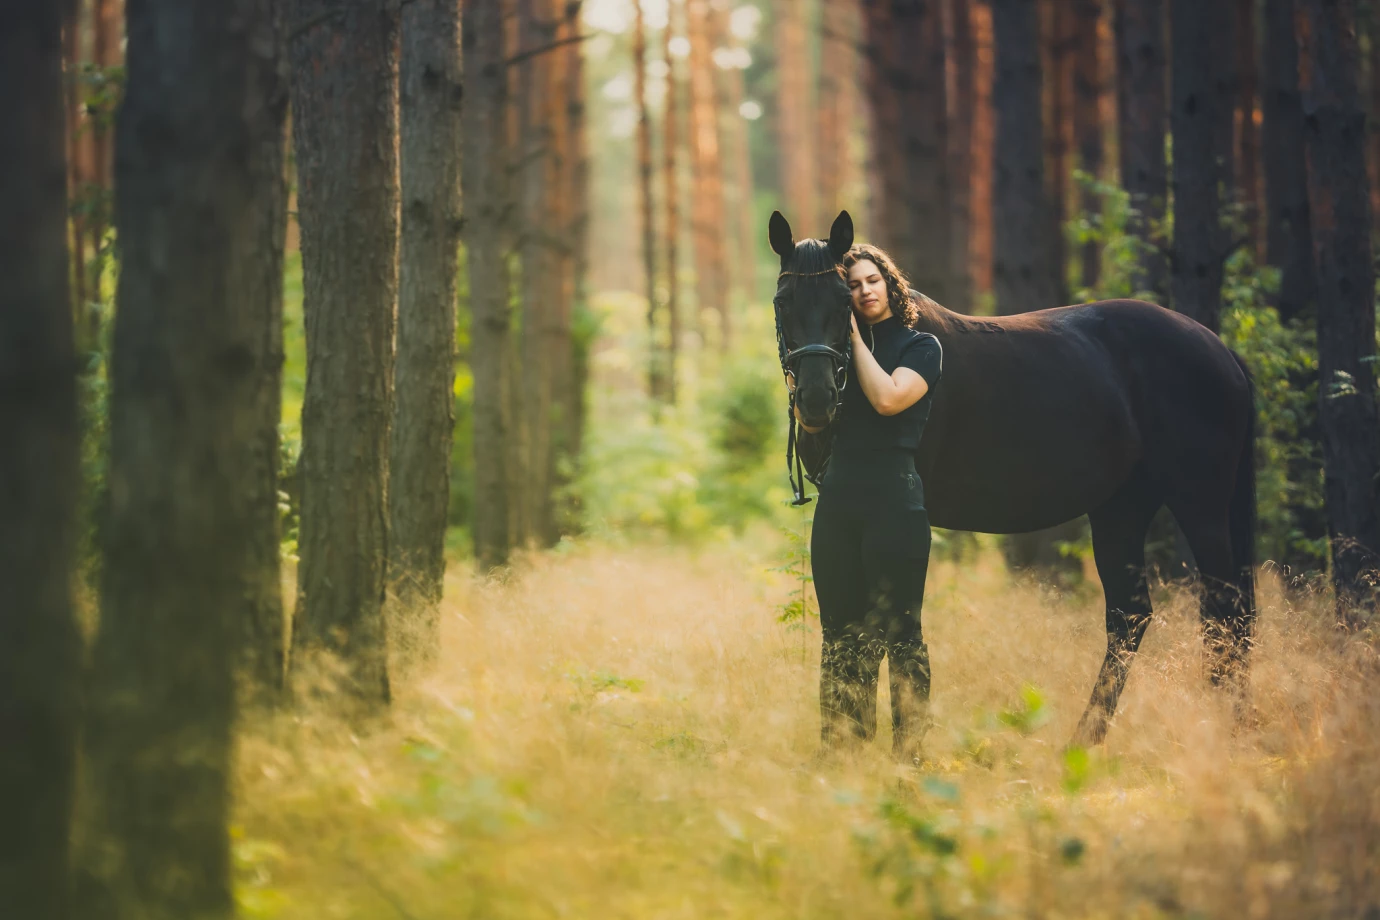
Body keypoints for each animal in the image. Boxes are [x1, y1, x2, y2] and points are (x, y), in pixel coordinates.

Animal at [772, 211, 1258, 750]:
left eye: (846, 300)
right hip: (1121, 508)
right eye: (783, 301)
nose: (816, 399)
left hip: (1201, 506)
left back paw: (1227, 734)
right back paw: (1086, 740)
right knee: (1131, 617)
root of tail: (1220, 348)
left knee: (1224, 613)